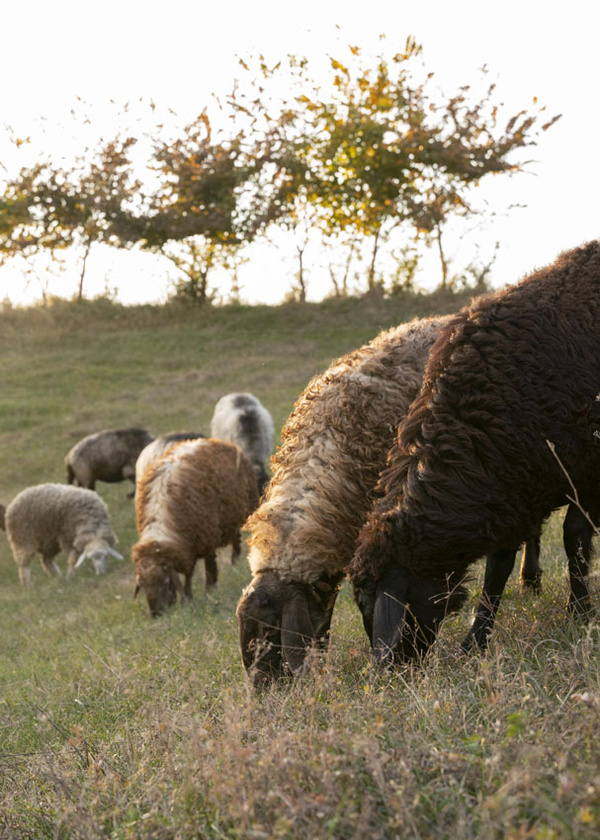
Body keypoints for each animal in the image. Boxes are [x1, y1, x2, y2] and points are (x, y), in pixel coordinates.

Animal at [132, 437, 260, 616]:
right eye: (143, 586)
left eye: (165, 582)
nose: (156, 614)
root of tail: (215, 441)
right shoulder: (189, 543)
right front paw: (190, 596)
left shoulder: (205, 535)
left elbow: (199, 570)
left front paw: (204, 591)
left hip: (242, 512)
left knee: (237, 541)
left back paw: (235, 563)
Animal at [348, 241, 600, 666]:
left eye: (369, 606)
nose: (395, 670)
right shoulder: (510, 489)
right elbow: (498, 568)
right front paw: (476, 641)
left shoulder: (584, 472)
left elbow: (575, 539)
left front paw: (580, 614)